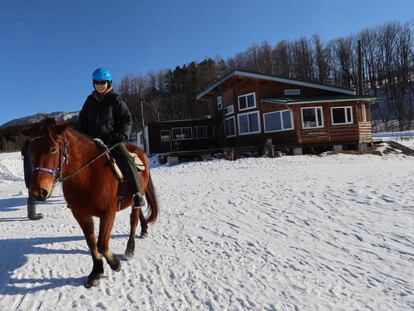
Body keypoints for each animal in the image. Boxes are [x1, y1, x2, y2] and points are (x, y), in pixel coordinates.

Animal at [21, 118, 159, 288]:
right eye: (31, 150)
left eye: (53, 149)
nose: (37, 191)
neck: (88, 175)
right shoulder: (81, 214)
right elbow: (92, 243)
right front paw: (96, 272)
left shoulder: (108, 213)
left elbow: (102, 244)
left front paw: (115, 264)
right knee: (139, 216)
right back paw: (144, 230)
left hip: (137, 195)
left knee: (134, 219)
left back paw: (130, 249)